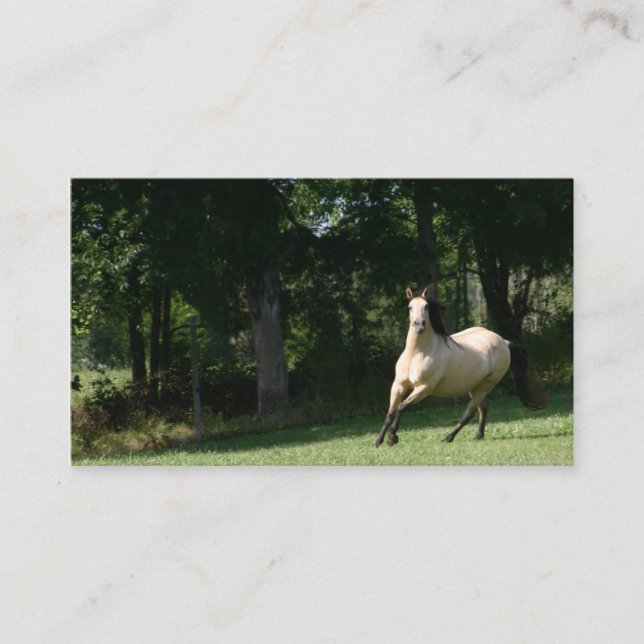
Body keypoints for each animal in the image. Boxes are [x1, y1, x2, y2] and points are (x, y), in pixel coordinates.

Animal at [374, 285, 545, 447]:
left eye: (426, 306)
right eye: (410, 307)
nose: (419, 325)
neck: (417, 354)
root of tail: (504, 341)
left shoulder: (424, 388)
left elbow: (401, 407)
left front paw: (392, 438)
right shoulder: (398, 385)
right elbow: (390, 413)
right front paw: (378, 441)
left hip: (486, 385)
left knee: (469, 412)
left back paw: (448, 438)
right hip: (474, 386)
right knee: (483, 408)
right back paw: (478, 436)